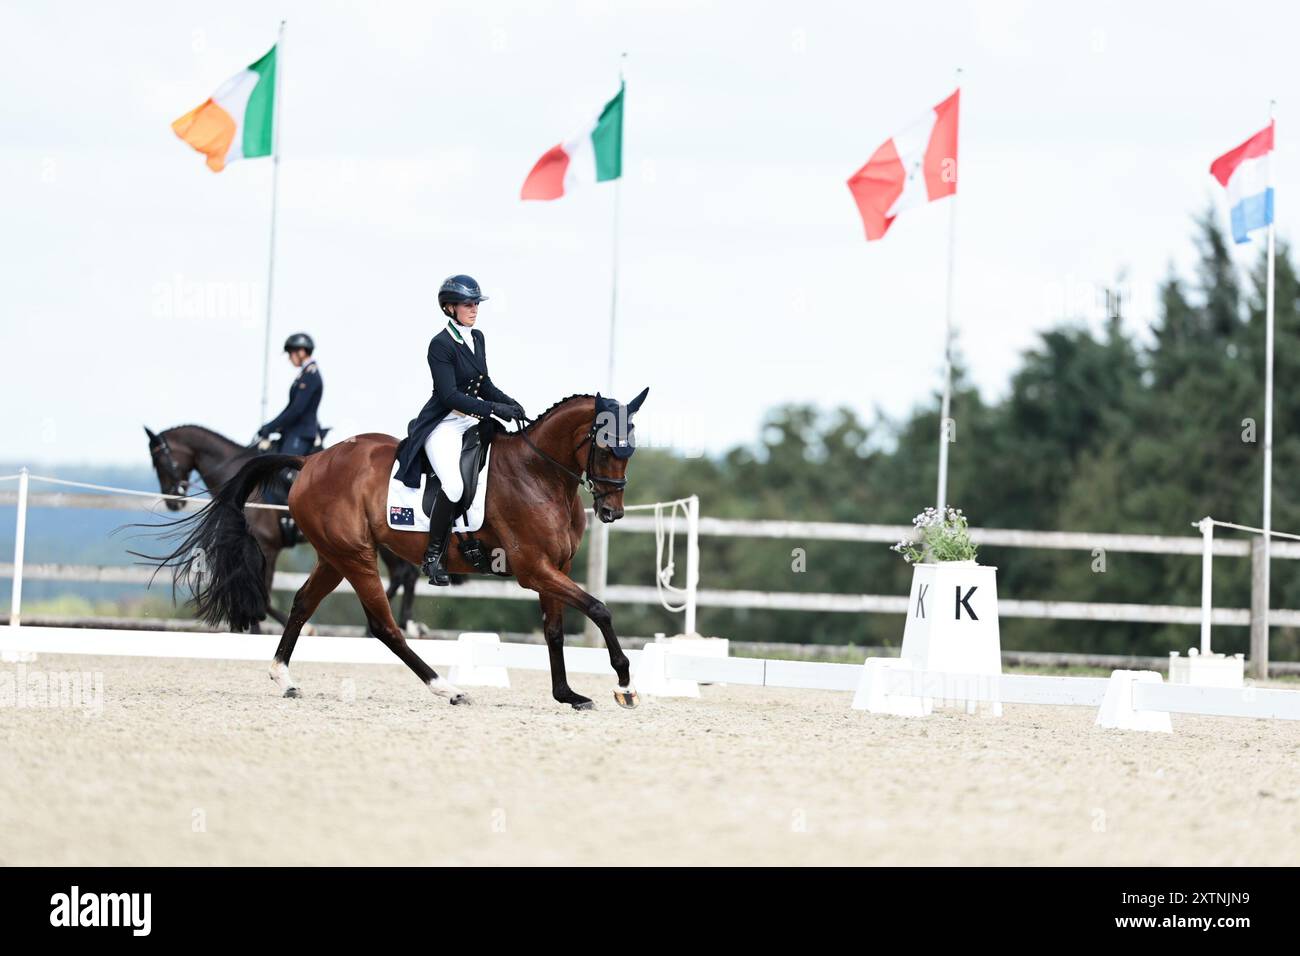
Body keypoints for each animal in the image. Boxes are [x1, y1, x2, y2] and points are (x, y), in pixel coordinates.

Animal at [143, 426, 418, 634]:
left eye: (159, 461)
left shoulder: (268, 547)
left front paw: (296, 629)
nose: (172, 501)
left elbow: (263, 596)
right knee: (405, 575)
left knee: (403, 574)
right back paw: (401, 626)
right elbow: (261, 594)